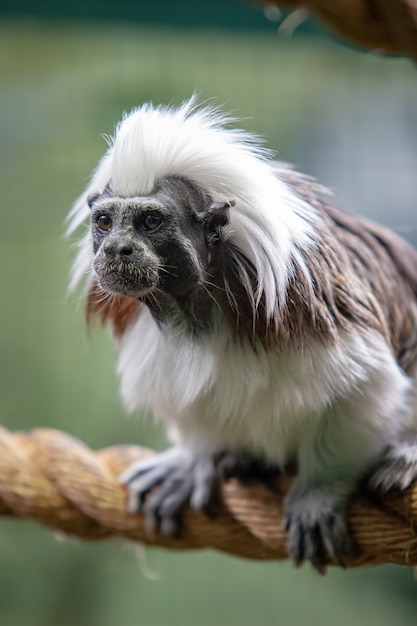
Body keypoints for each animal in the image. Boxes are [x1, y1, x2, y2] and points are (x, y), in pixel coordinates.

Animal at [66, 97, 416, 572]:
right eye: (104, 221)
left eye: (150, 221)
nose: (116, 248)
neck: (197, 305)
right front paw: (192, 461)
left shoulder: (307, 305)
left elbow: (365, 387)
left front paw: (318, 493)